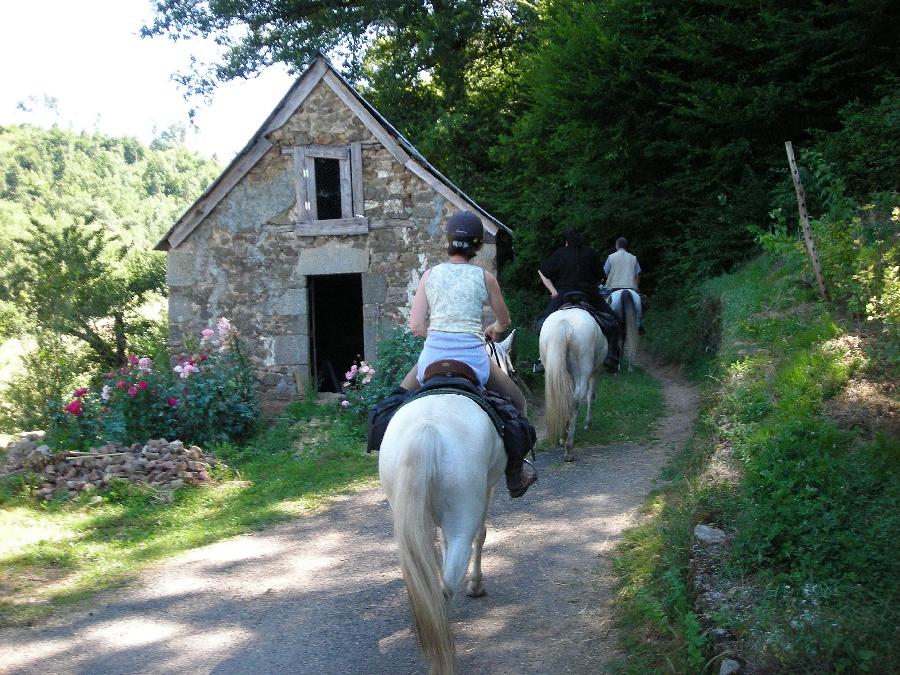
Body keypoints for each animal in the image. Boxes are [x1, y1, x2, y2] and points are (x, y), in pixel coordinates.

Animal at [378, 336, 516, 672]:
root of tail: (426, 430)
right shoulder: (488, 489)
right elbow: (482, 535)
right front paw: (476, 586)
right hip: (463, 518)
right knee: (449, 581)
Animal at [536, 308, 608, 462]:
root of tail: (564, 324)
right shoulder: (595, 370)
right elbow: (591, 395)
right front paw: (587, 423)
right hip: (583, 371)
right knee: (576, 399)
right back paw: (568, 447)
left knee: (565, 398)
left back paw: (563, 436)